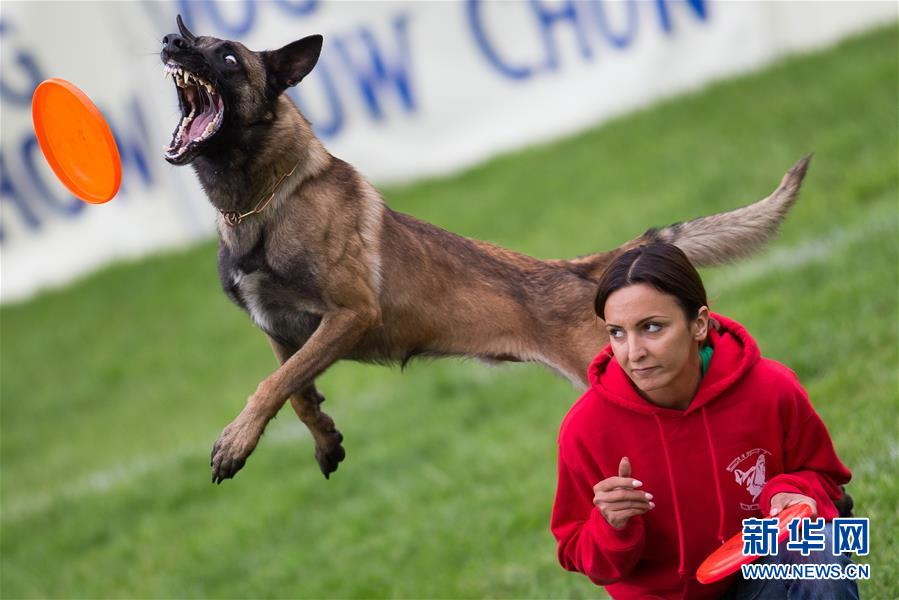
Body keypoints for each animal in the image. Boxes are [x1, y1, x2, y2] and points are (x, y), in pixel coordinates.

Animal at [160, 17, 808, 482]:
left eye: (227, 57)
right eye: (193, 39)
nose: (170, 40)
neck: (260, 203)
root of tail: (587, 271)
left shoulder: (350, 315)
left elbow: (272, 385)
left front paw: (234, 443)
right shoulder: (280, 329)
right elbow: (293, 389)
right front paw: (323, 436)